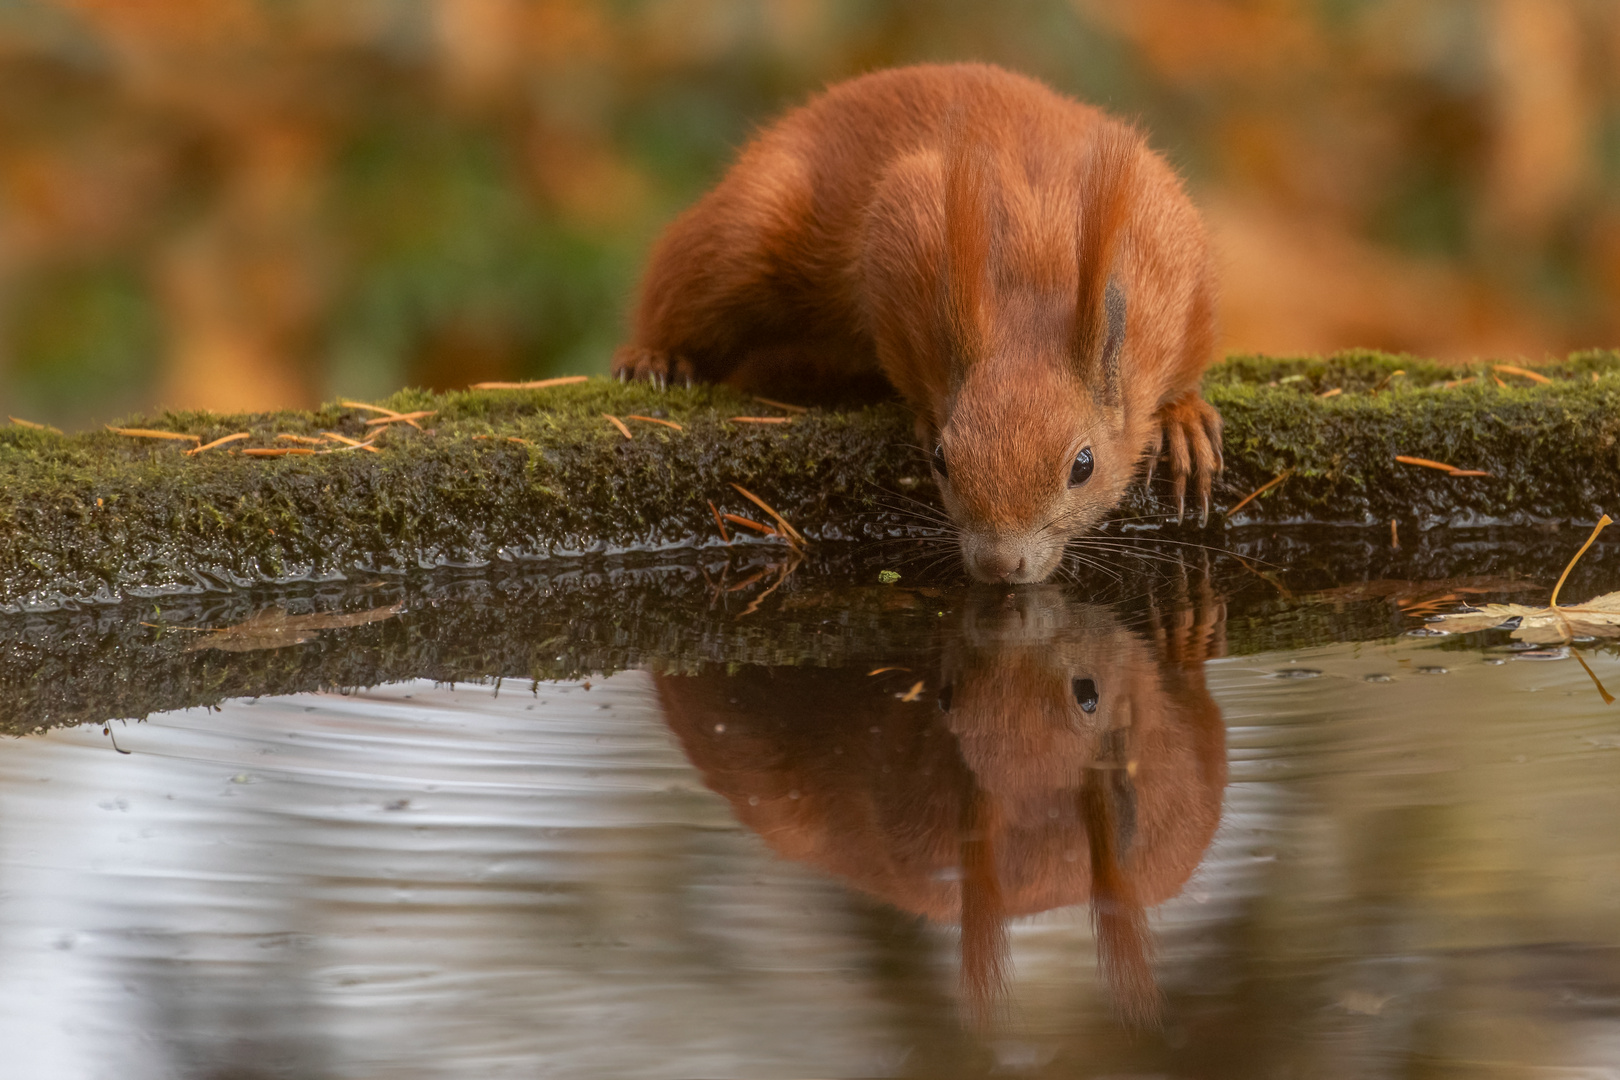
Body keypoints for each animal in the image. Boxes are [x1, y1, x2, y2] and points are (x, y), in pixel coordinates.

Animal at [612, 63, 1218, 586]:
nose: (999, 565)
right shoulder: (900, 234)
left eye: (1084, 466)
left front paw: (1181, 419)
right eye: (941, 461)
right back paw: (653, 358)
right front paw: (926, 417)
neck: (1040, 272)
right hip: (740, 241)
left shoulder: (1174, 254)